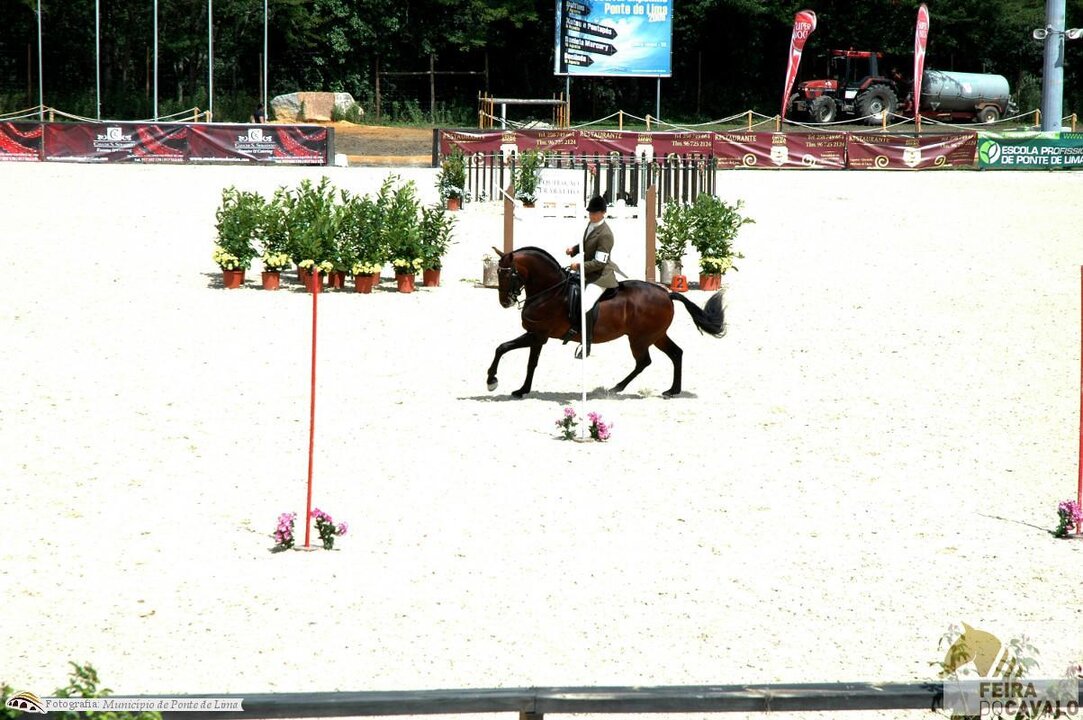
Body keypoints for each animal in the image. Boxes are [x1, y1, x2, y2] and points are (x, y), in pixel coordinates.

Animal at [486, 246, 726, 398]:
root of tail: (667, 294)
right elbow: (516, 356)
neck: (551, 292)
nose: (504, 302)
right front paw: (517, 388)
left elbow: (510, 352)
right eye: (497, 272)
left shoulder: (538, 335)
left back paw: (618, 388)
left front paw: (495, 382)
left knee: (645, 361)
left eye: (508, 274)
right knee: (675, 354)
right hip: (656, 336)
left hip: (640, 339)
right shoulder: (537, 336)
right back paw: (670, 390)